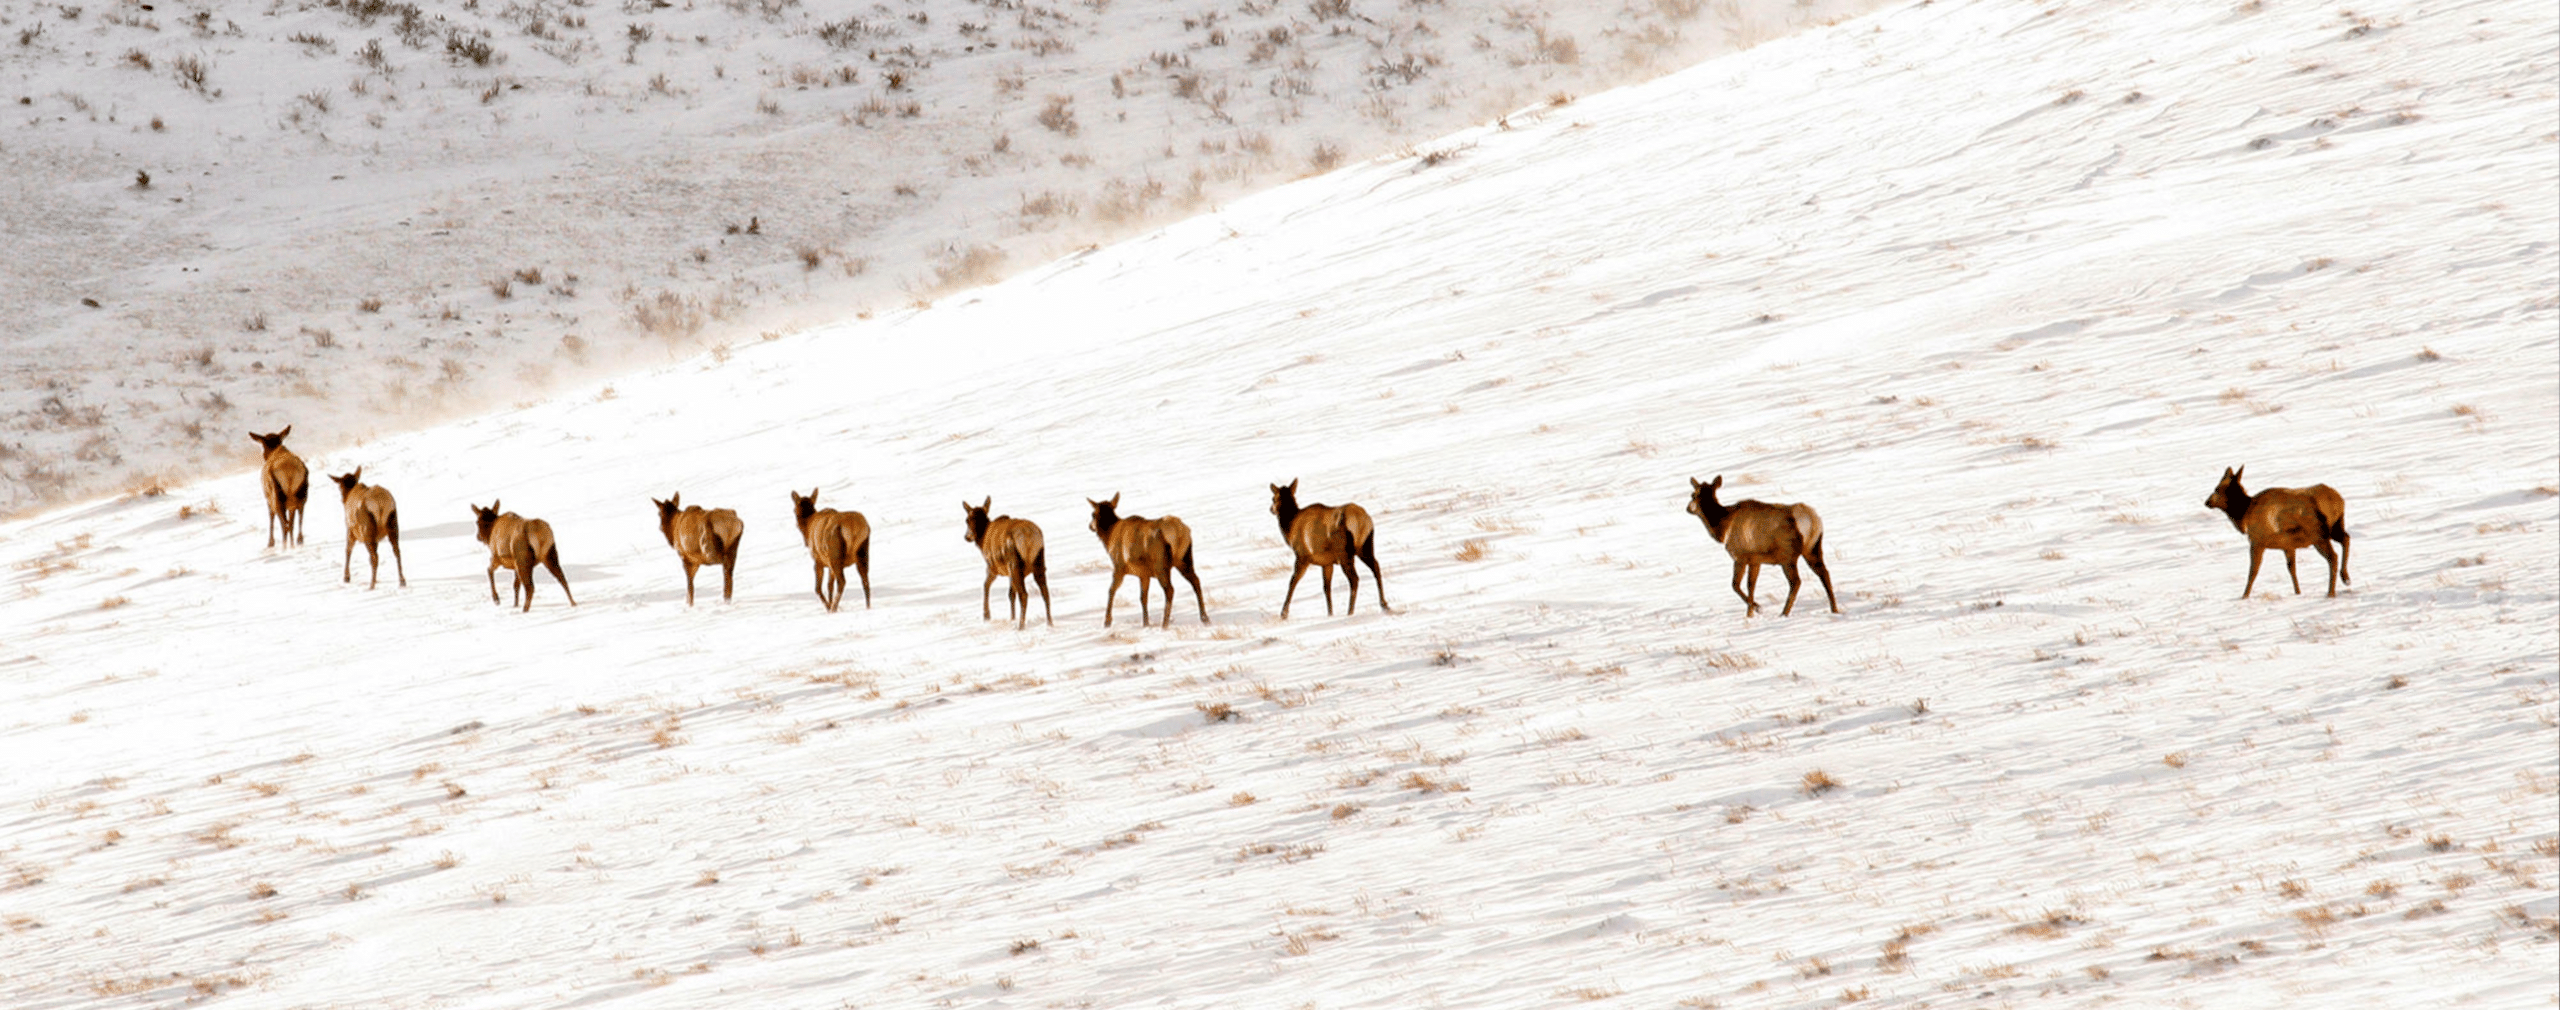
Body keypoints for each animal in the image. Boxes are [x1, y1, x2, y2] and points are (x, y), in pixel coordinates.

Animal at [963, 497, 1050, 629]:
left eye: (966, 520)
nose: (967, 537)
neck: (982, 541)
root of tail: (1029, 536)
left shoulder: (992, 568)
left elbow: (985, 585)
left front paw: (987, 616)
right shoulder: (1008, 573)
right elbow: (1010, 594)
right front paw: (1012, 618)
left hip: (1014, 563)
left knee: (1024, 595)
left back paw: (1021, 626)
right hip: (1038, 561)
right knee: (1045, 592)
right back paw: (1050, 623)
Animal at [1088, 494, 1207, 628]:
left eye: (1093, 514)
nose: (1090, 526)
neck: (1108, 538)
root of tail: (1179, 530)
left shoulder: (1118, 567)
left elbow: (1111, 590)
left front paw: (1107, 621)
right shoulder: (1143, 574)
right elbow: (1143, 597)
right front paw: (1145, 623)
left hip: (1161, 564)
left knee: (1170, 589)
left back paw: (1164, 624)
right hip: (1184, 559)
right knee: (1196, 581)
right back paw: (1205, 618)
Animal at [1269, 479, 1387, 619]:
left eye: (1273, 498)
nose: (1271, 509)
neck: (1289, 529)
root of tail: (1361, 519)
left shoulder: (1302, 556)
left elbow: (1293, 582)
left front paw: (1284, 613)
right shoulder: (1327, 563)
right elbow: (1327, 588)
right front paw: (1330, 613)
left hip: (1344, 552)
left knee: (1354, 578)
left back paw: (1350, 612)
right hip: (1365, 545)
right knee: (1376, 567)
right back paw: (1384, 604)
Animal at [1686, 476, 1838, 617]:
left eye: (1692, 495)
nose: (1688, 508)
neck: (1723, 529)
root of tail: (1811, 519)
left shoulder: (1740, 556)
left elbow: (1735, 585)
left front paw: (1757, 608)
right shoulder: (1755, 561)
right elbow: (1751, 586)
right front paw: (1750, 614)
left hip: (1787, 555)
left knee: (1796, 582)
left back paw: (1784, 613)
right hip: (1813, 548)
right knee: (1824, 573)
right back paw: (1834, 609)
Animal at [2204, 466, 2350, 598]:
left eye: (2217, 488)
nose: (2207, 502)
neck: (2244, 514)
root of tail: (2337, 500)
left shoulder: (2257, 542)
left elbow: (2253, 571)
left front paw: (2244, 596)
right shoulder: (2288, 545)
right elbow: (2292, 569)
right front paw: (2298, 592)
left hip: (2318, 535)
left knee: (2333, 557)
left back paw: (2331, 592)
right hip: (2336, 526)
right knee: (2346, 538)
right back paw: (2346, 577)